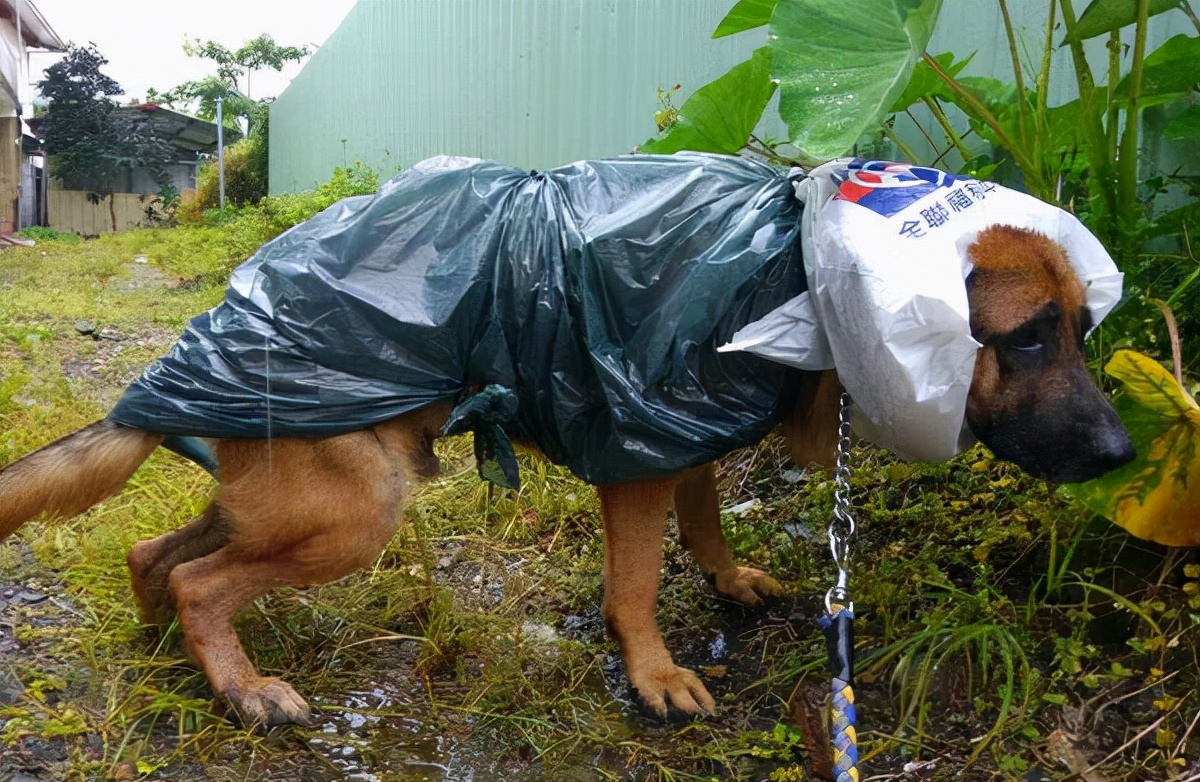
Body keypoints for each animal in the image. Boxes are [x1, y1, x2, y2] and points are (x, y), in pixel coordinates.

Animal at [0, 223, 1128, 724]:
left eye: (1081, 328)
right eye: (1027, 337)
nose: (1122, 453)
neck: (803, 265)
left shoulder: (681, 438)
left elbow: (707, 522)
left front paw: (729, 580)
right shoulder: (635, 460)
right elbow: (635, 581)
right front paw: (656, 672)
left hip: (297, 500)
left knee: (157, 553)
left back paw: (173, 652)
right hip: (358, 508)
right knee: (200, 576)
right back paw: (240, 684)